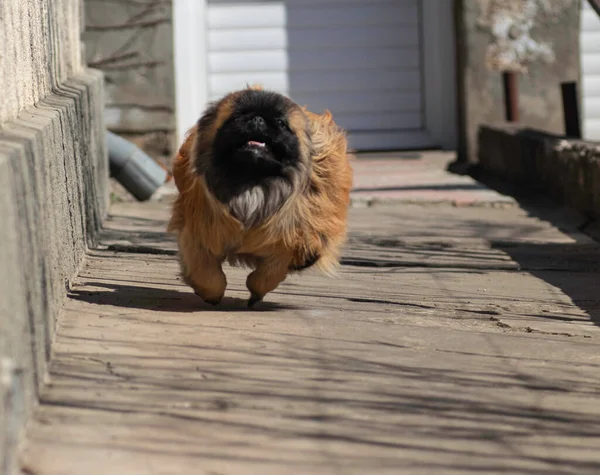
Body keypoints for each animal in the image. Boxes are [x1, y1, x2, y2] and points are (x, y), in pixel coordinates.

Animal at [166, 85, 354, 308]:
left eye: (281, 123)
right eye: (237, 117)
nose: (258, 119)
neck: (252, 184)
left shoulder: (290, 244)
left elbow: (270, 273)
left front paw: (255, 293)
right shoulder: (197, 236)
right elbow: (207, 274)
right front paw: (212, 294)